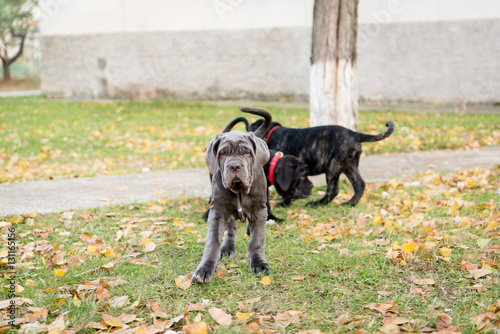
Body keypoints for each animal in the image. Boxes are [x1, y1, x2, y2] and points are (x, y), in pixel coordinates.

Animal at [191, 129, 270, 284]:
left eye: (247, 153)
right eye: (222, 154)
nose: (234, 166)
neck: (239, 190)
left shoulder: (260, 210)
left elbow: (256, 240)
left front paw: (259, 264)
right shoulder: (218, 211)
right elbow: (212, 242)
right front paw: (204, 269)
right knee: (231, 229)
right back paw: (227, 248)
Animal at [227, 117, 394, 206]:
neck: (272, 134)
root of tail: (354, 134)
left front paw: (285, 203)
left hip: (333, 167)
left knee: (333, 189)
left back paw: (317, 203)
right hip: (349, 165)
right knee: (359, 184)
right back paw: (350, 203)